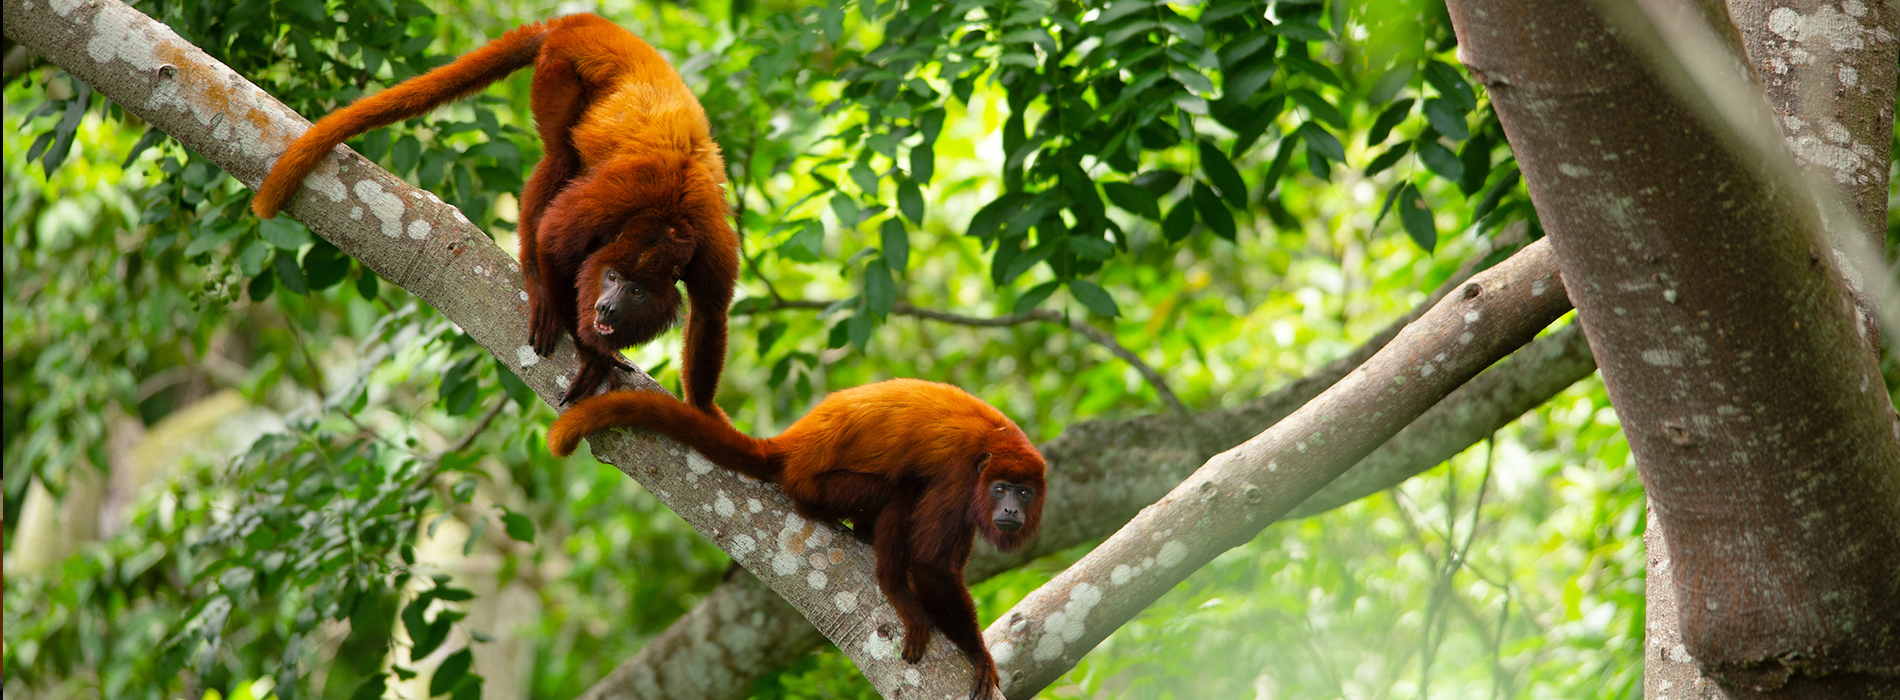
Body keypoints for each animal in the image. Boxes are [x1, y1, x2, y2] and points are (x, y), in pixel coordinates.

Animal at [247, 13, 733, 410]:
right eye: (612, 277)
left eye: (635, 291)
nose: (608, 308)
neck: (667, 217)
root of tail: (579, 21)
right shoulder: (627, 191)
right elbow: (555, 234)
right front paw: (591, 352)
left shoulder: (711, 244)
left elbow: (710, 314)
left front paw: (704, 418)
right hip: (558, 70)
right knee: (559, 159)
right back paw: (538, 285)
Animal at [551, 382, 1048, 700]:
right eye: (1001, 488)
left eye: (1025, 492)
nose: (1010, 510)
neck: (992, 449)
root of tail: (792, 445)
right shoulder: (959, 479)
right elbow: (930, 564)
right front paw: (979, 656)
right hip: (818, 487)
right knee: (902, 488)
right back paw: (893, 587)